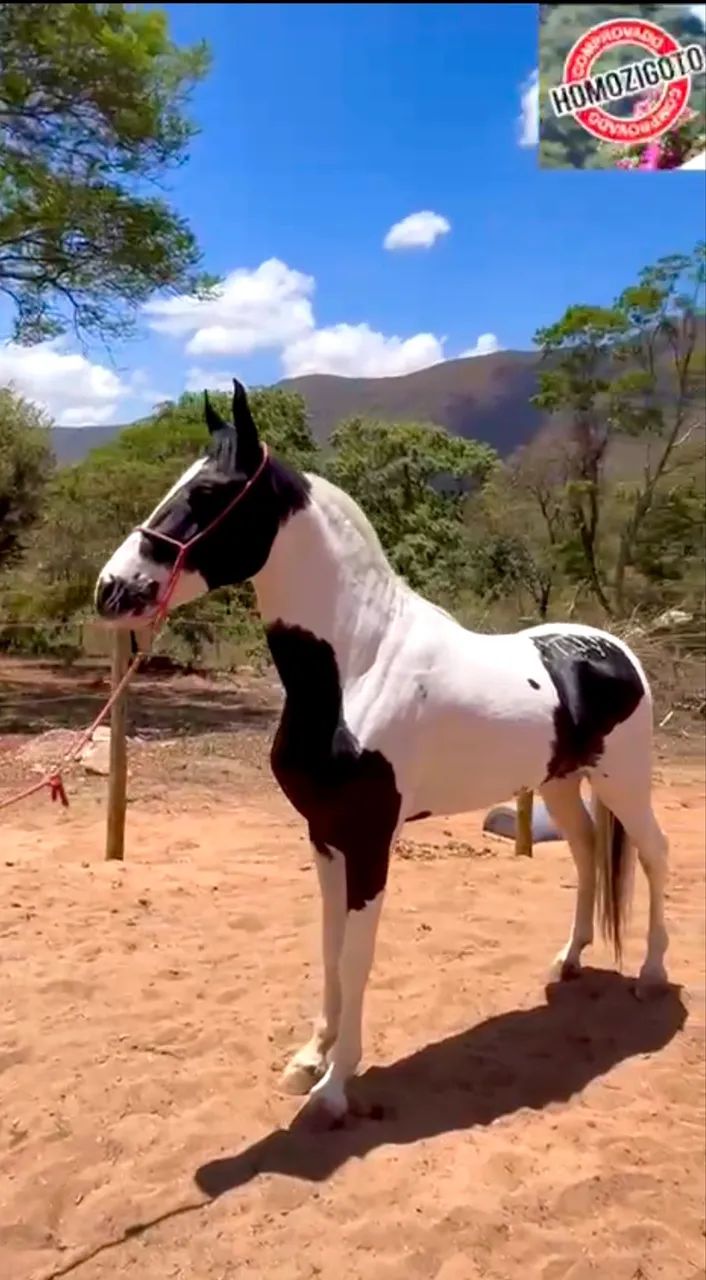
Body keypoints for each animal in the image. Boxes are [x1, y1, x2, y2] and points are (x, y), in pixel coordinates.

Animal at [95, 379, 670, 1124]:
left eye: (210, 492)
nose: (112, 589)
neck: (359, 662)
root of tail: (614, 650)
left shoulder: (369, 841)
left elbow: (357, 958)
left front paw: (334, 1089)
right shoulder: (324, 836)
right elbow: (329, 945)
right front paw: (311, 1058)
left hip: (626, 781)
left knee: (654, 855)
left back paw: (652, 974)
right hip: (560, 784)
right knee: (586, 853)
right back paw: (568, 961)